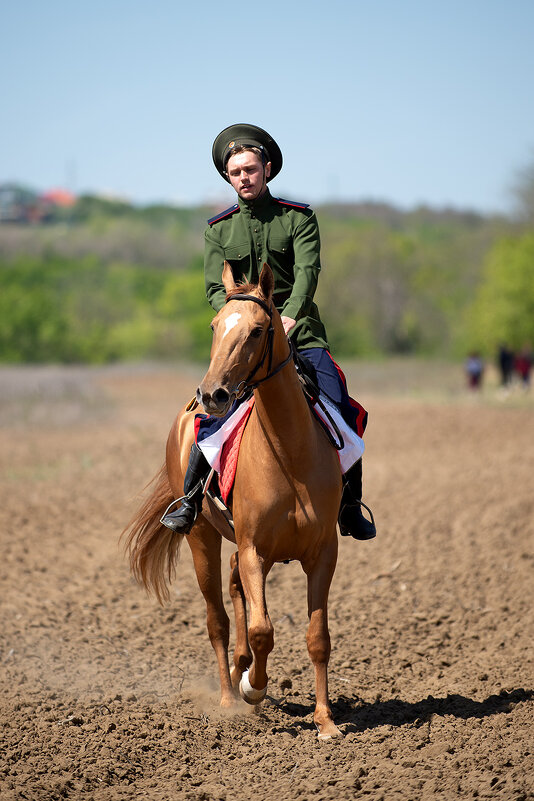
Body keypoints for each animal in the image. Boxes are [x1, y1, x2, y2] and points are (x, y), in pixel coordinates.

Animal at [124, 262, 344, 736]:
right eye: (214, 326)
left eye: (258, 330)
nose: (213, 395)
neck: (289, 452)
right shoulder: (254, 548)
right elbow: (262, 630)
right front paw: (252, 688)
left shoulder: (322, 553)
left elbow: (318, 637)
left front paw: (325, 721)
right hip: (202, 539)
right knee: (217, 619)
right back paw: (229, 695)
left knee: (234, 588)